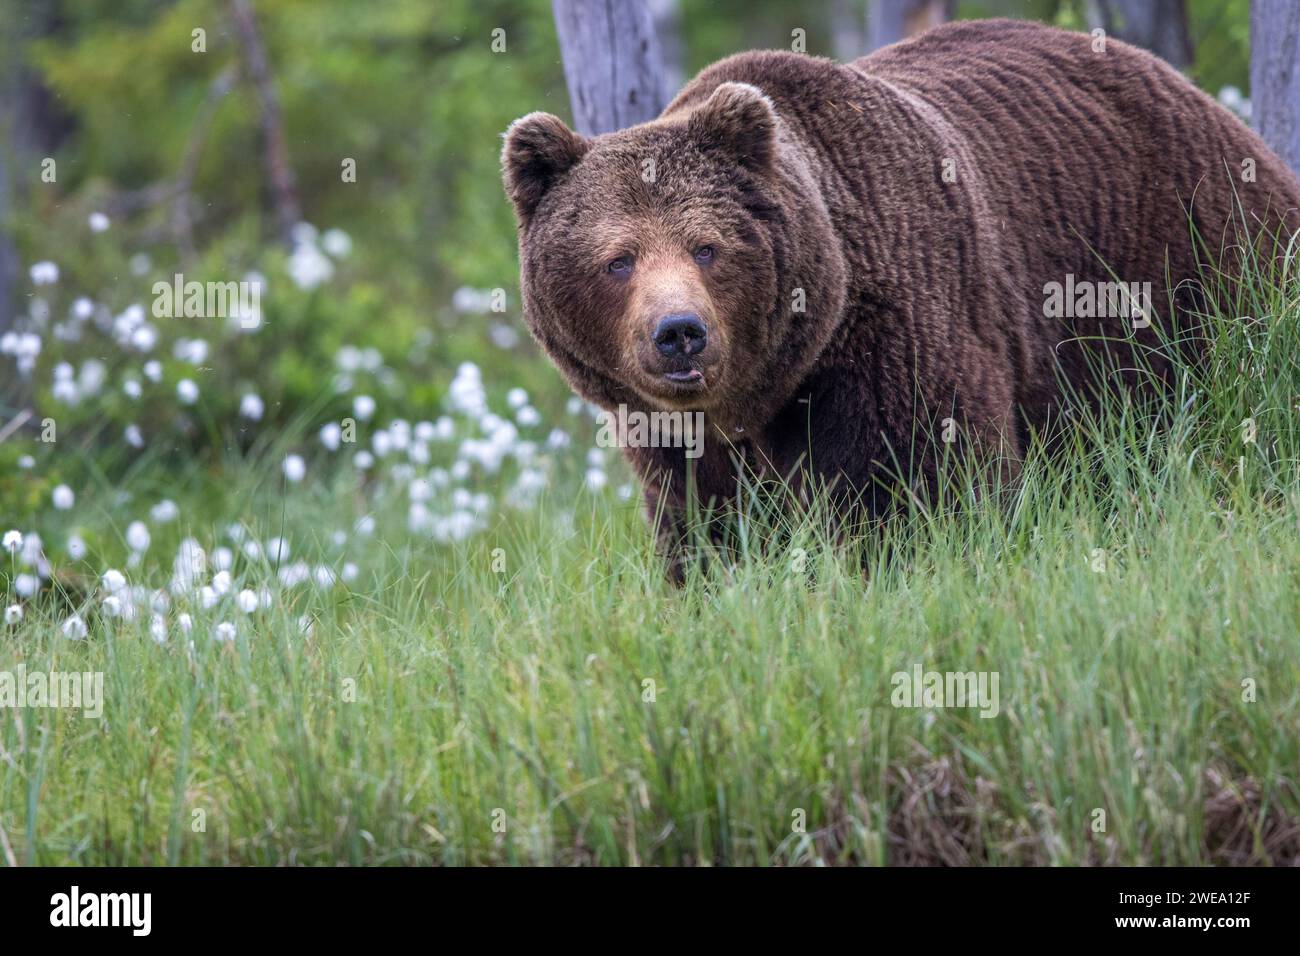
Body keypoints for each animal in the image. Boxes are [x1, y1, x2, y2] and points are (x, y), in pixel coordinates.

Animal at [499, 18, 1300, 580]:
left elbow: (923, 483)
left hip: (1194, 267)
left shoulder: (892, 332)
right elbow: (708, 529)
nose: (679, 332)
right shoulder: (677, 437)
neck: (767, 388)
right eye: (618, 260)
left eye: (707, 247)